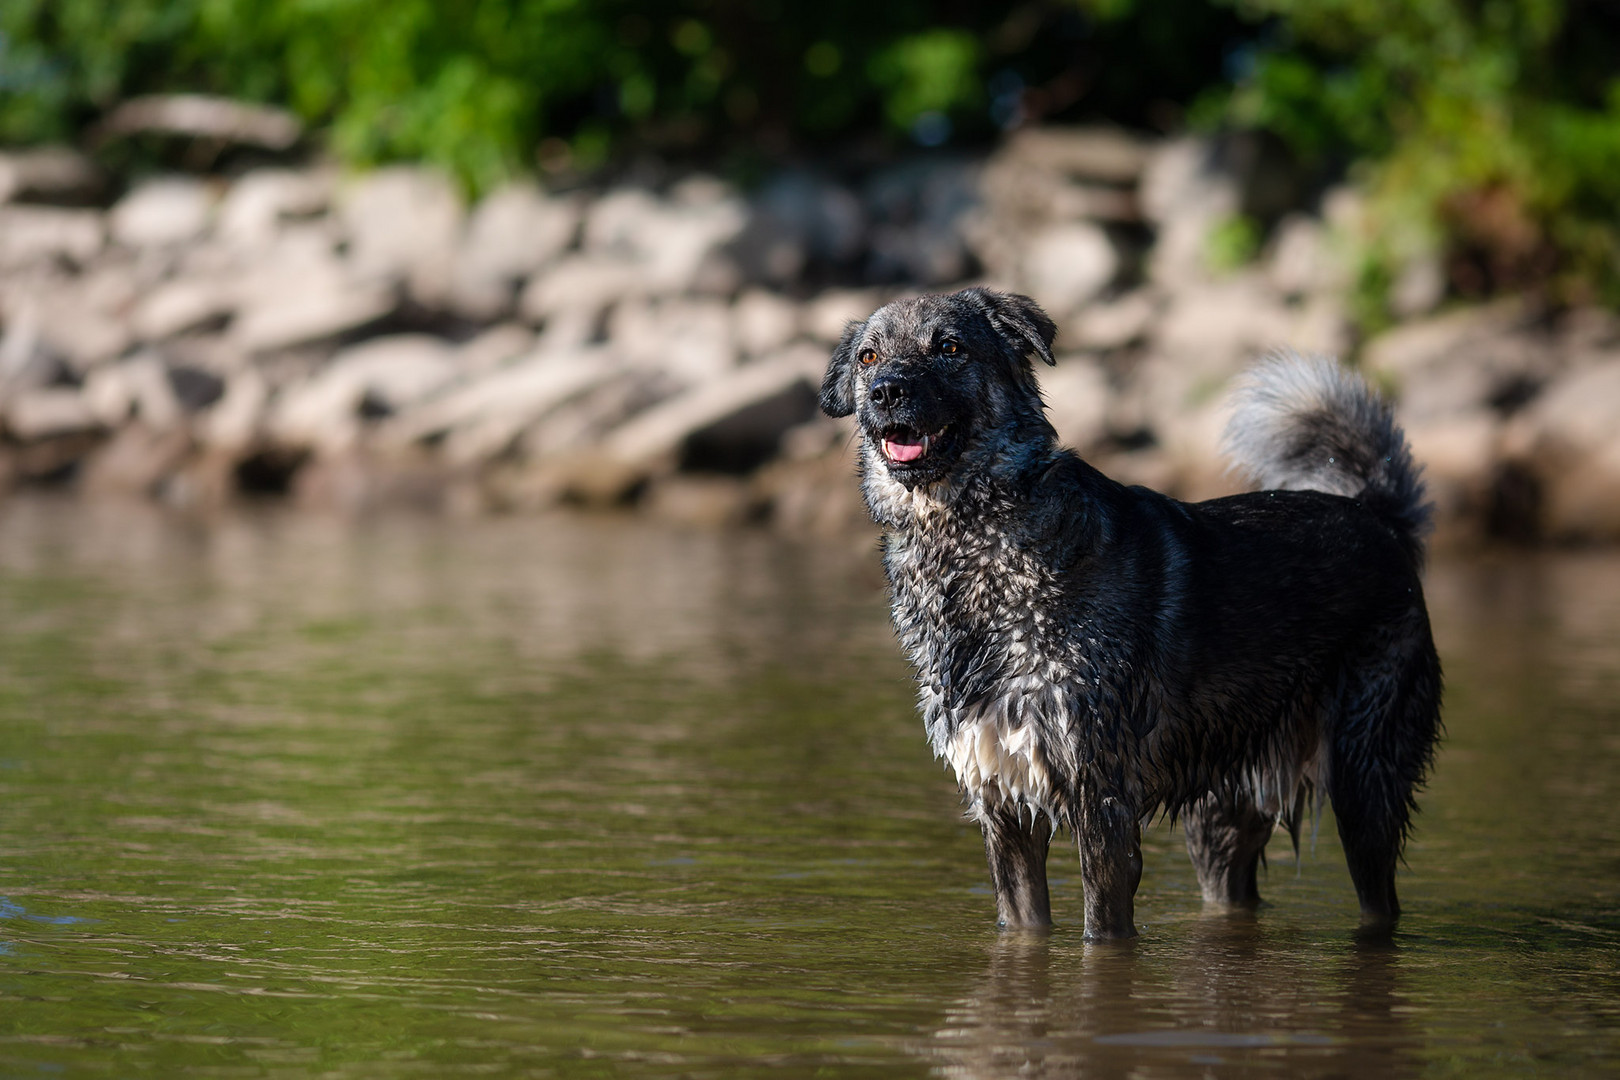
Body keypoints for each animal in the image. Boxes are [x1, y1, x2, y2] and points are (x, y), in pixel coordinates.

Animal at [822, 286, 1445, 939]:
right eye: (868, 357)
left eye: (949, 347)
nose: (885, 390)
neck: (970, 548)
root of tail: (1377, 517)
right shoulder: (1005, 808)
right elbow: (1023, 924)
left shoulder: (1102, 806)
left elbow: (1103, 932)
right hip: (1221, 816)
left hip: (1364, 783)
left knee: (1380, 898)